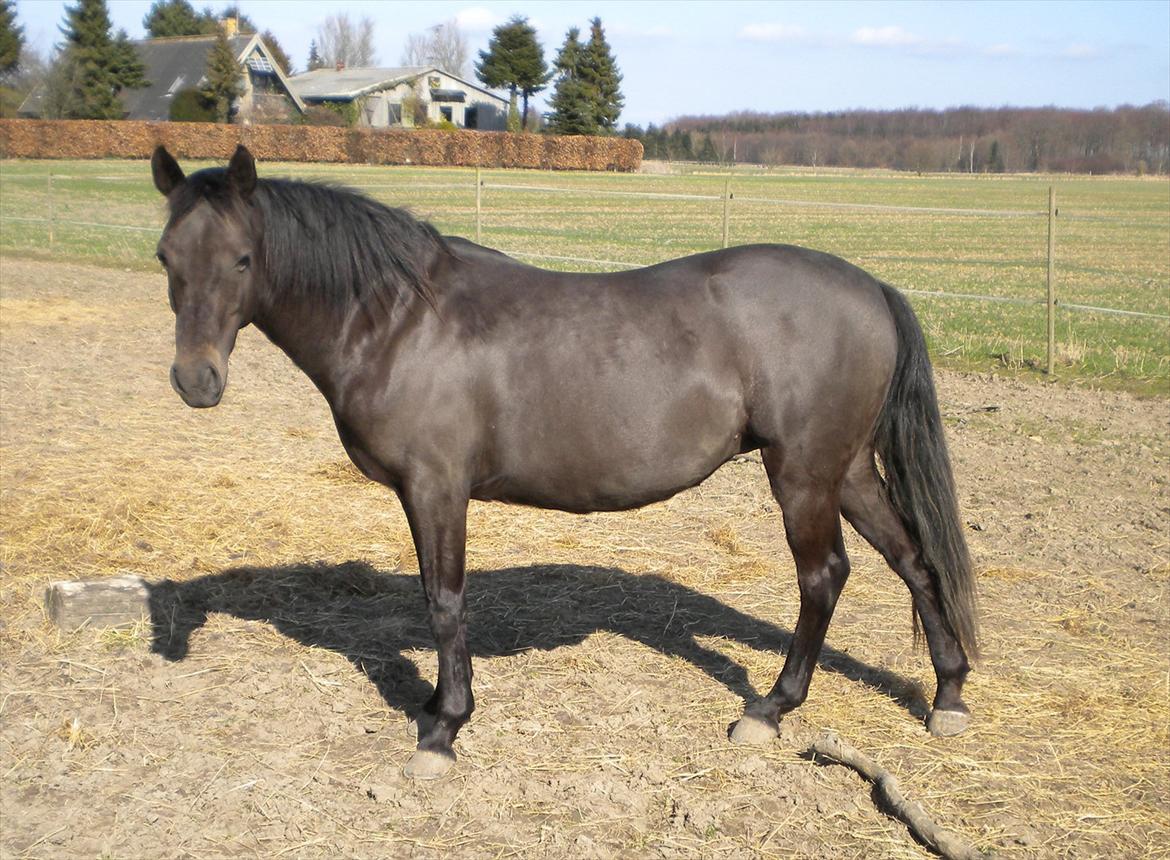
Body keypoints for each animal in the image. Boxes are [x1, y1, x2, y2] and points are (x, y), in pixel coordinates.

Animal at [151, 145, 978, 779]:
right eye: (165, 256)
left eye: (243, 258)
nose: (195, 381)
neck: (400, 319)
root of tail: (870, 287)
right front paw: (436, 709)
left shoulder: (436, 489)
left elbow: (443, 602)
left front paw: (444, 729)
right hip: (847, 470)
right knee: (913, 559)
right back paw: (948, 694)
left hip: (803, 474)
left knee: (823, 578)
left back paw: (769, 710)